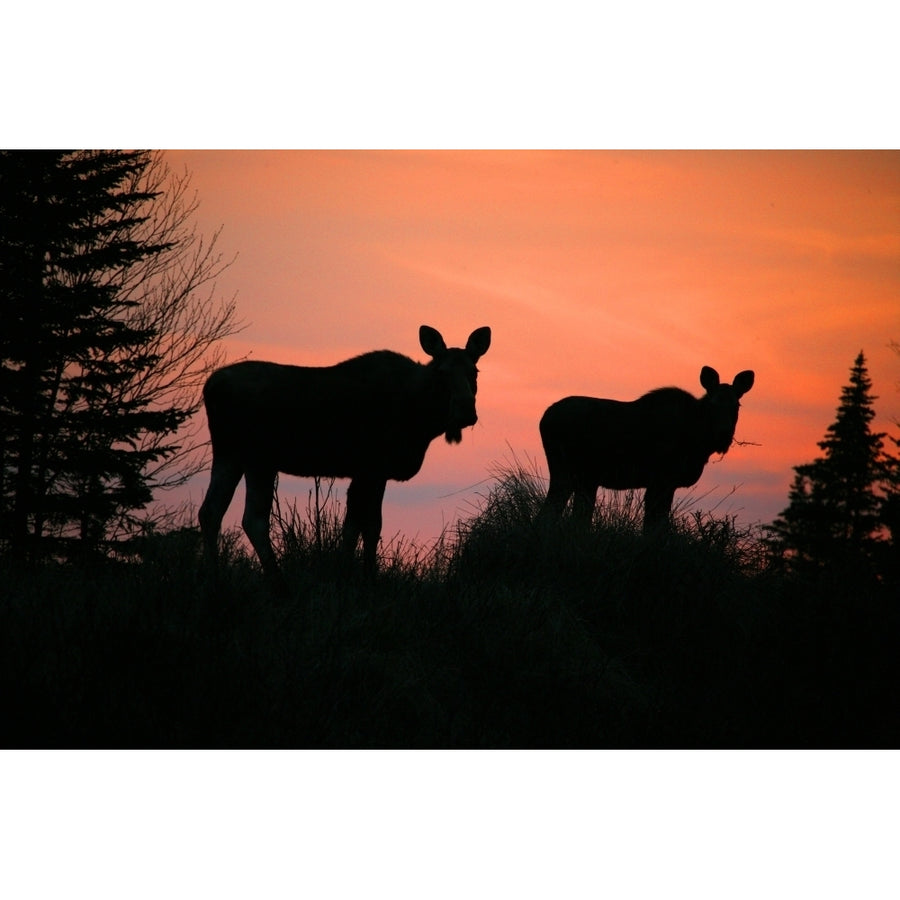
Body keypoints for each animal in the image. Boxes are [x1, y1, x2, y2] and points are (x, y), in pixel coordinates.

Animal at [199, 326, 492, 580]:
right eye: (442, 373)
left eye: (475, 371)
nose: (466, 409)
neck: (420, 420)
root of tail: (209, 386)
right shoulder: (371, 469)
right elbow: (365, 527)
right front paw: (359, 576)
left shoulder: (372, 473)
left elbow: (362, 527)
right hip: (258, 459)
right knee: (252, 519)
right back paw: (277, 582)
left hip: (231, 456)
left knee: (213, 512)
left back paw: (217, 577)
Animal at [536, 366, 756, 532]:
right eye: (712, 405)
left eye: (736, 406)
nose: (723, 433)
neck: (698, 441)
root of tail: (544, 419)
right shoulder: (661, 480)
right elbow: (653, 526)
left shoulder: (667, 483)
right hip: (570, 473)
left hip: (582, 477)